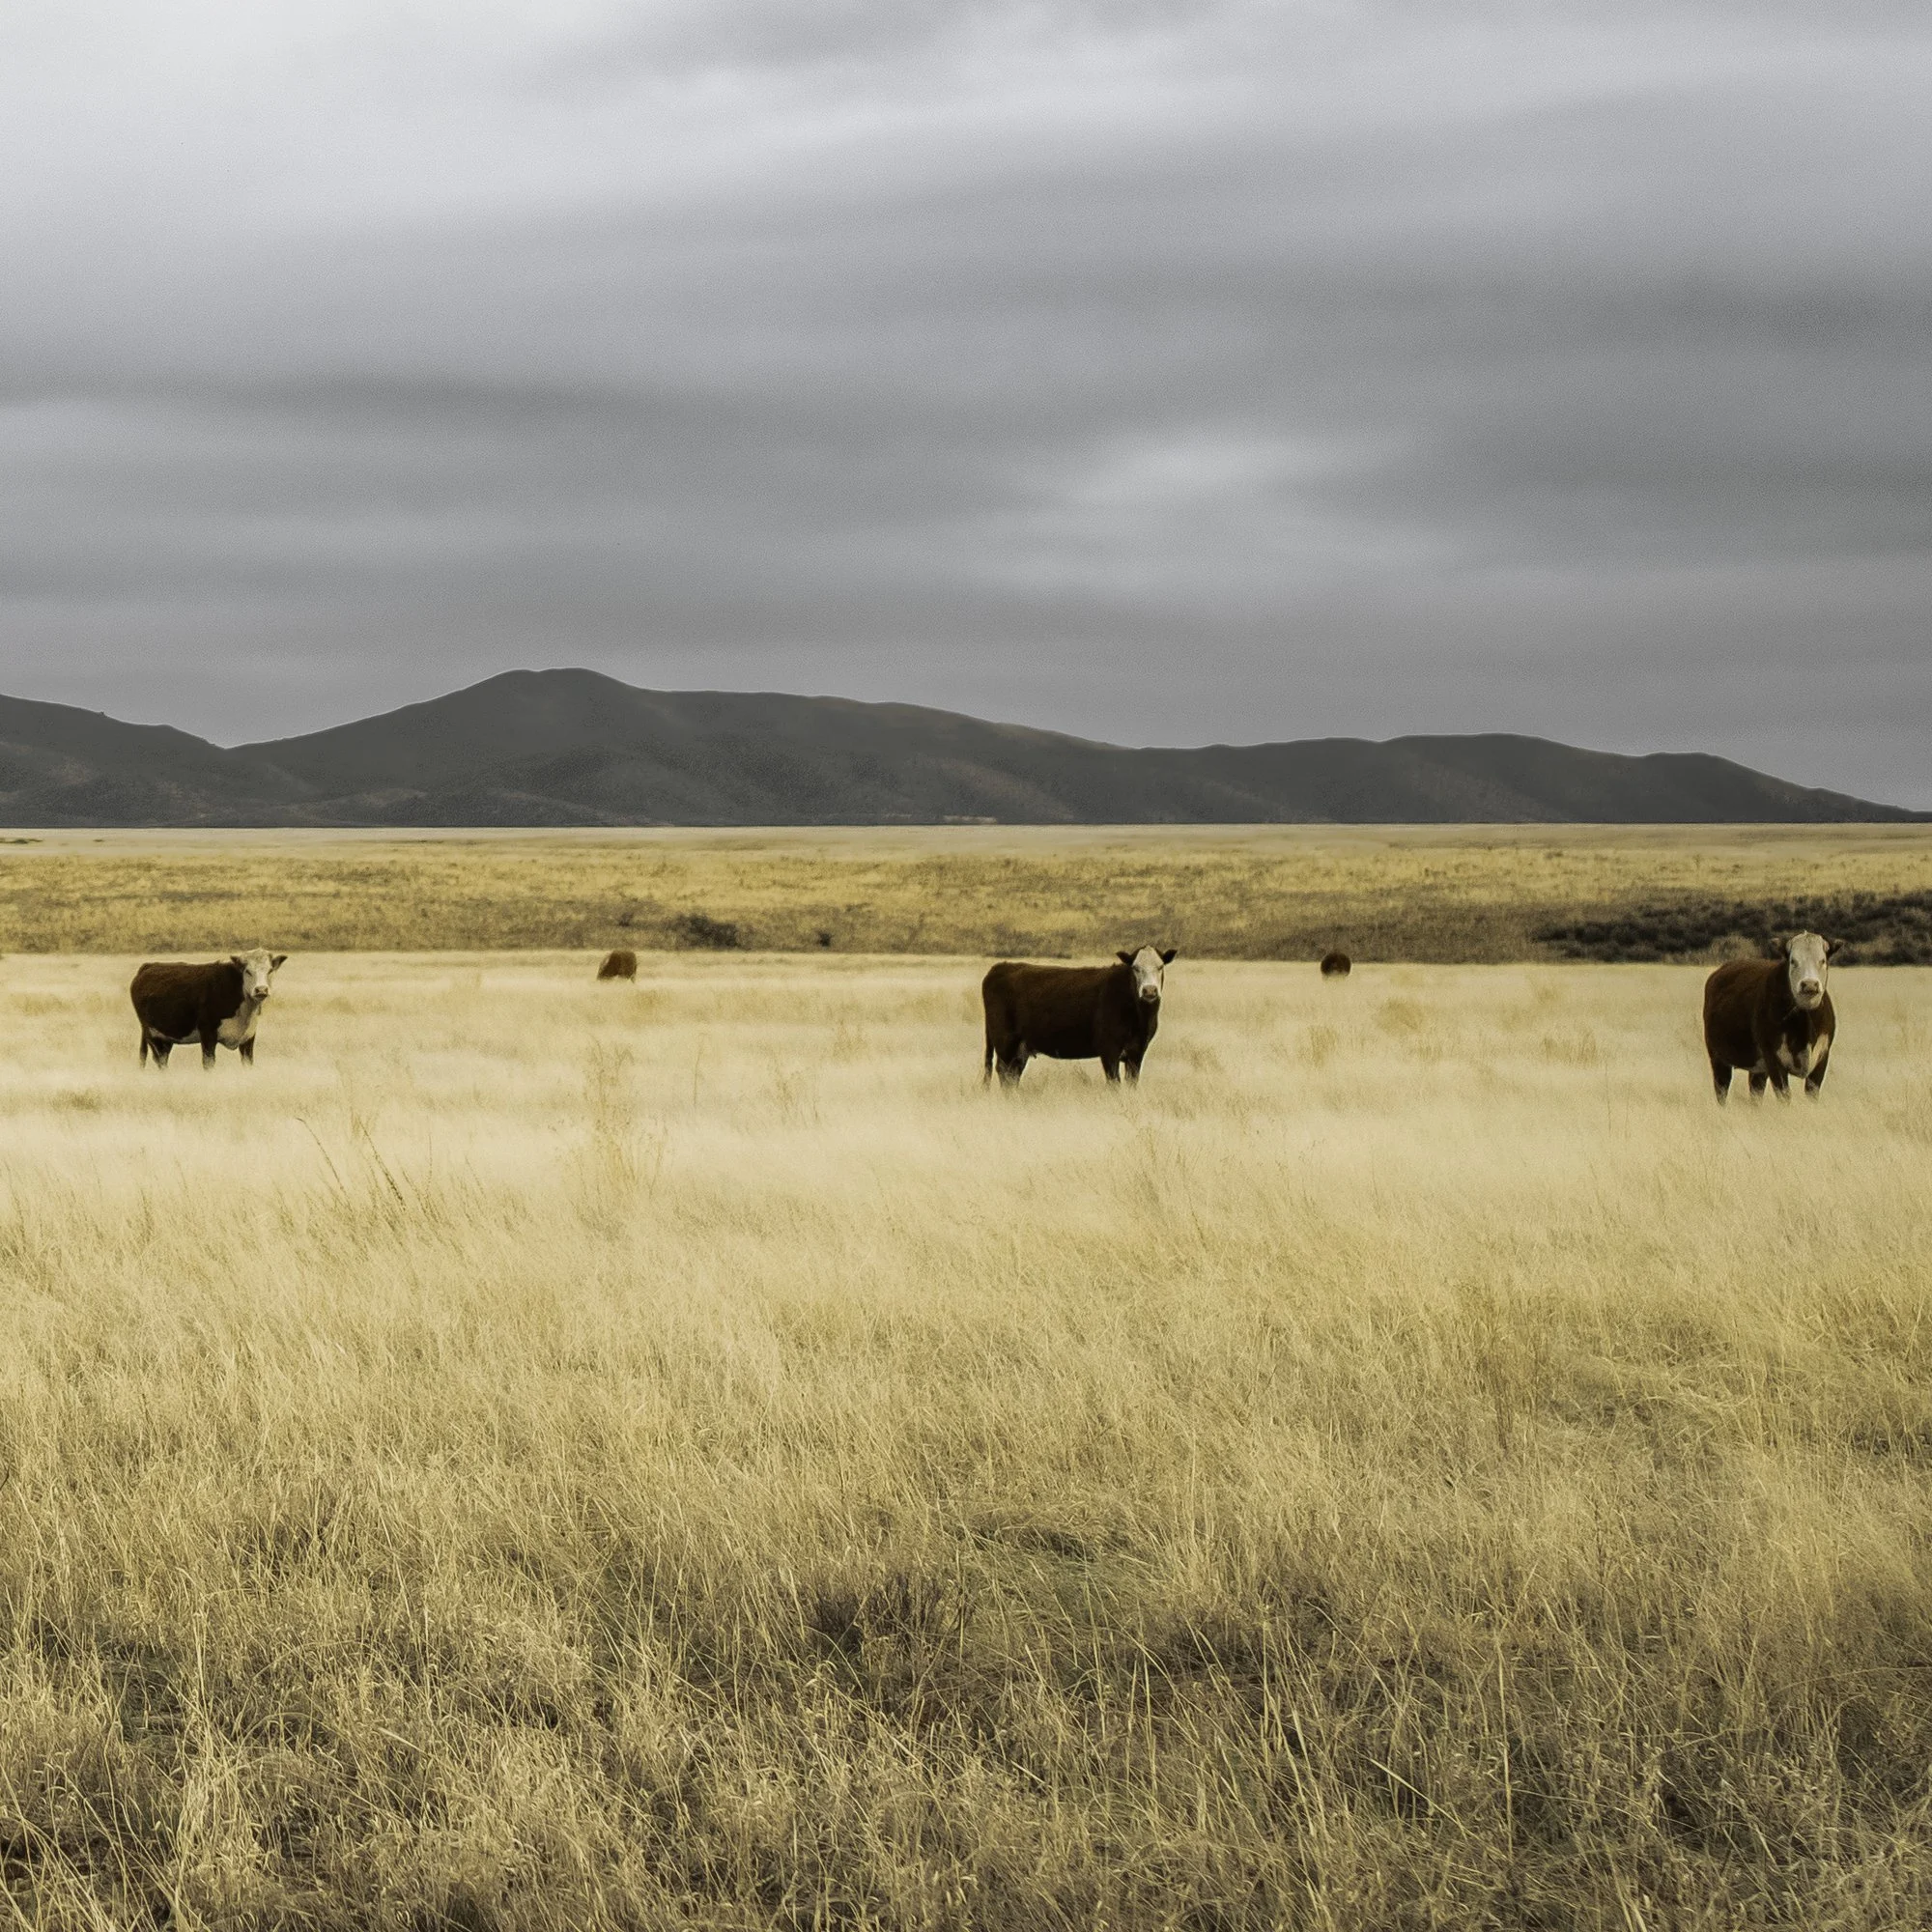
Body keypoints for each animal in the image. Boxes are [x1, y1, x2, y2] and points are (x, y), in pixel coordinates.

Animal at [131, 949, 286, 1069]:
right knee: (160, 1061)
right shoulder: (207, 1034)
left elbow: (248, 1063)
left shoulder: (248, 1037)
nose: (261, 990)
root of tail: (148, 966)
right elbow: (208, 1064)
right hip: (152, 1035)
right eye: (248, 971)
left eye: (270, 970)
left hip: (166, 1038)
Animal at [982, 946, 1176, 1087]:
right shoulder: (1109, 1049)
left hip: (1020, 1047)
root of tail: (1000, 967)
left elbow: (1132, 1084)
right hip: (1005, 1041)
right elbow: (1114, 1084)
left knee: (1013, 1076)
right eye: (1136, 968)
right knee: (1004, 1073)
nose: (1149, 990)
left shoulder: (1137, 1051)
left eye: (1160, 967)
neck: (1139, 1018)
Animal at [1702, 931, 1838, 1104]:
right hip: (1718, 1058)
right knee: (1722, 1091)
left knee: (1755, 1093)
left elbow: (1812, 1094)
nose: (1809, 985)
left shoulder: (1822, 1058)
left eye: (1822, 960)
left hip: (1758, 1069)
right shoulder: (1773, 1059)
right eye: (1793, 961)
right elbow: (1784, 1096)